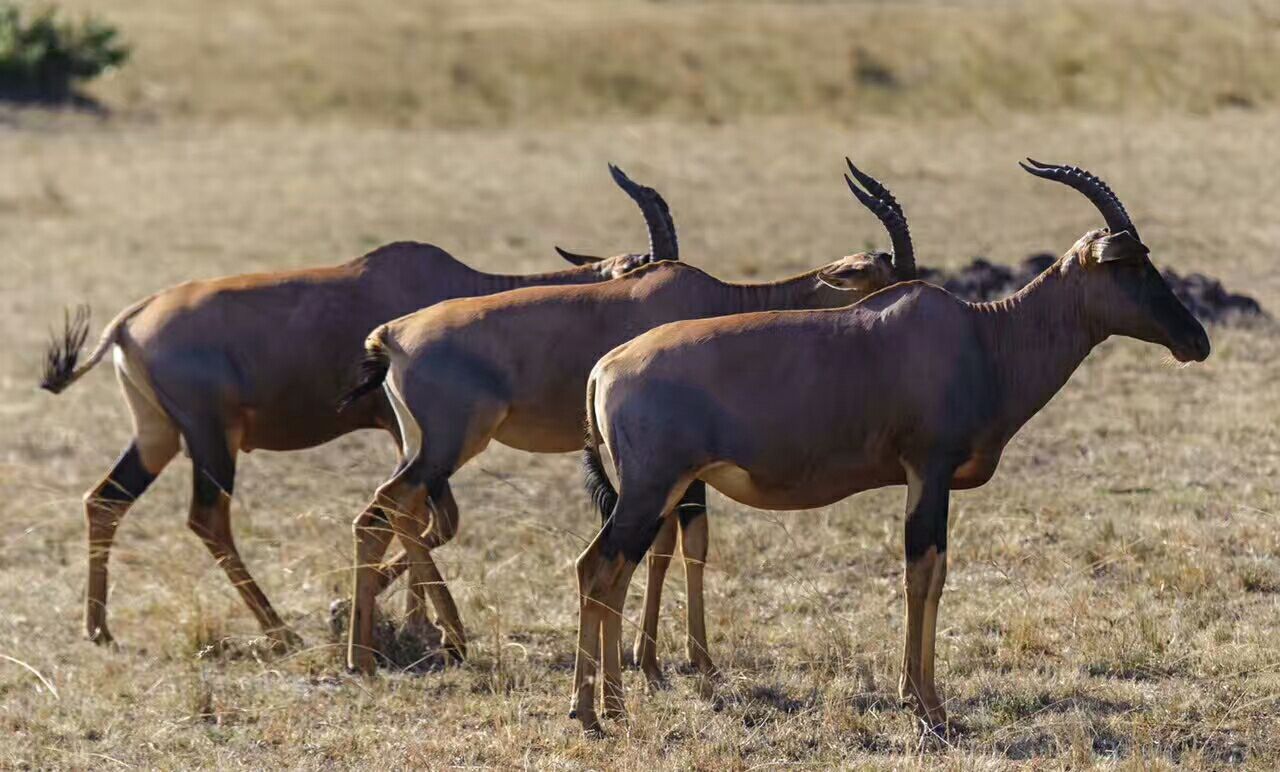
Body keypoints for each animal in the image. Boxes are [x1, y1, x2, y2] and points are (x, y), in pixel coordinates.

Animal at [37, 165, 680, 652]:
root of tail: (131, 318)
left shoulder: (408, 436)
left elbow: (422, 520)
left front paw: (395, 619)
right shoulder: (408, 432)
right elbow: (431, 520)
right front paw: (408, 623)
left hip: (157, 432)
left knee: (106, 500)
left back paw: (100, 629)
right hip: (210, 436)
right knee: (207, 518)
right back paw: (278, 632)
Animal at [340, 160, 916, 675]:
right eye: (891, 283)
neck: (709, 295)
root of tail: (391, 334)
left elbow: (664, 546)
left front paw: (648, 658)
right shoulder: (678, 466)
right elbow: (688, 544)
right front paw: (689, 662)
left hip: (419, 446)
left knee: (395, 516)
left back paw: (391, 647)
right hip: (449, 446)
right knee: (384, 513)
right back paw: (392, 651)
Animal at [570, 160, 1208, 732]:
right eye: (1131, 263)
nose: (1196, 341)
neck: (982, 336)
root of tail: (604, 368)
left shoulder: (924, 478)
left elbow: (929, 573)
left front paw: (915, 697)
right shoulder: (930, 470)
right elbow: (923, 572)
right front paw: (930, 708)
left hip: (656, 492)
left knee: (600, 570)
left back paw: (601, 709)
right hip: (651, 490)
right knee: (602, 570)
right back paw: (600, 713)